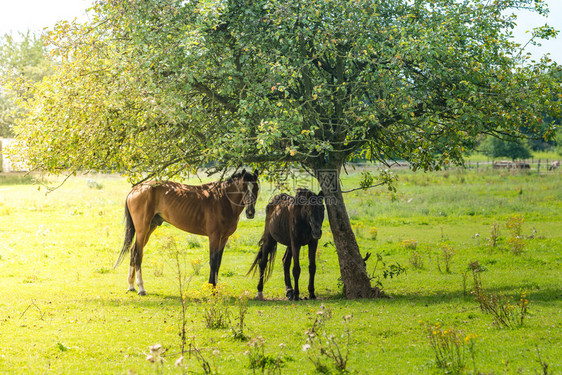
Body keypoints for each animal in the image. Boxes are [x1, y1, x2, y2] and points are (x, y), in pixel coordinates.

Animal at [117, 169, 262, 296]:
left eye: (256, 188)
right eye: (243, 187)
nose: (250, 212)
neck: (223, 200)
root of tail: (136, 189)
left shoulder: (224, 238)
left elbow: (218, 263)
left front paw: (215, 290)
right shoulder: (214, 236)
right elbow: (213, 261)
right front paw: (212, 289)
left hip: (150, 228)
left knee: (133, 251)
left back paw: (131, 285)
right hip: (142, 229)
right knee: (138, 254)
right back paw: (141, 288)